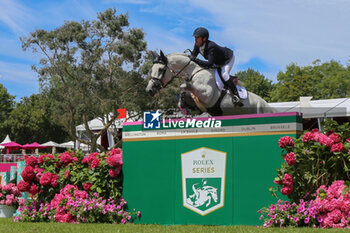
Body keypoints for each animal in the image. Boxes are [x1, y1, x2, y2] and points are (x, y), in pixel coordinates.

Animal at [145, 51, 276, 116]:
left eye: (161, 70)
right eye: (152, 69)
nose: (149, 90)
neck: (194, 72)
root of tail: (268, 106)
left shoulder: (207, 95)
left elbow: (183, 86)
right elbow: (182, 91)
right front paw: (184, 106)